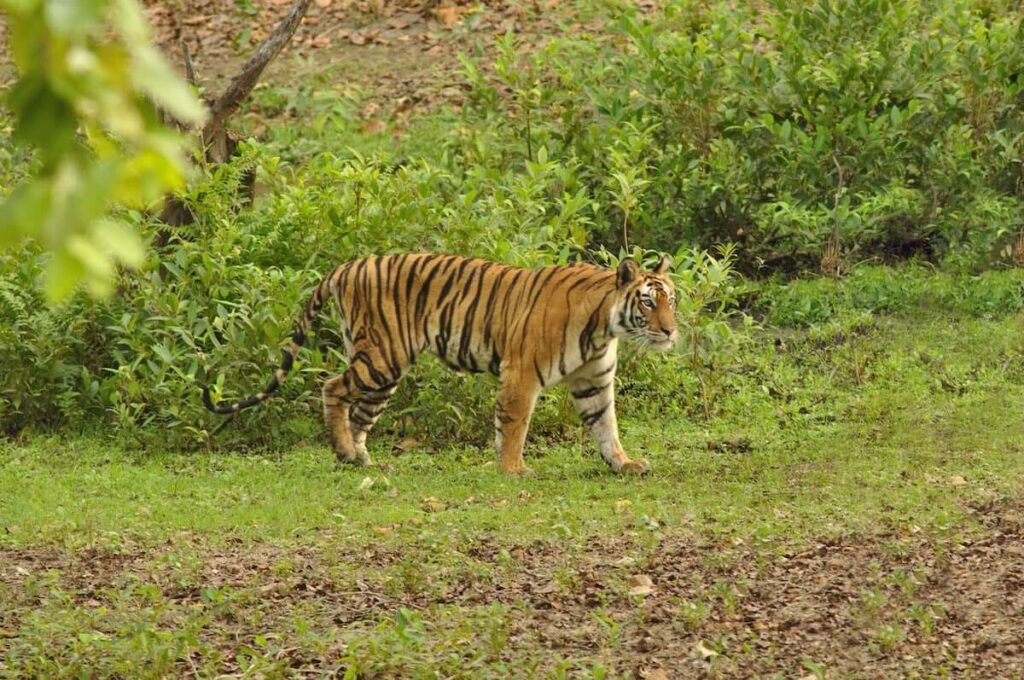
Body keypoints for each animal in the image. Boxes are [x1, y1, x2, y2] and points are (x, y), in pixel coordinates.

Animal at [202, 253, 678, 475]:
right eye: (647, 302)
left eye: (671, 300)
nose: (671, 331)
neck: (604, 327)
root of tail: (348, 264)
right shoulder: (521, 373)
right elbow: (514, 424)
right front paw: (513, 469)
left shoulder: (593, 382)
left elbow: (606, 426)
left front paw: (623, 463)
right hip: (381, 357)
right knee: (332, 387)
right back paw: (343, 452)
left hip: (384, 372)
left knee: (360, 414)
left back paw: (362, 461)